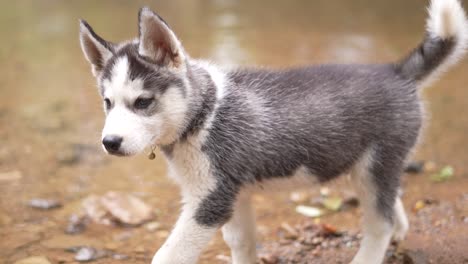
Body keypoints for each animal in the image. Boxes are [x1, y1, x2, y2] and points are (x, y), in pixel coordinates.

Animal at [78, 1, 466, 262]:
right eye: (108, 103)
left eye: (143, 102)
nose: (109, 143)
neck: (204, 115)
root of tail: (396, 71)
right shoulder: (235, 195)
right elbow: (242, 244)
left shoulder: (211, 200)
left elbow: (168, 255)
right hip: (368, 167)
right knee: (391, 204)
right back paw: (400, 230)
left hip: (375, 165)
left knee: (379, 224)